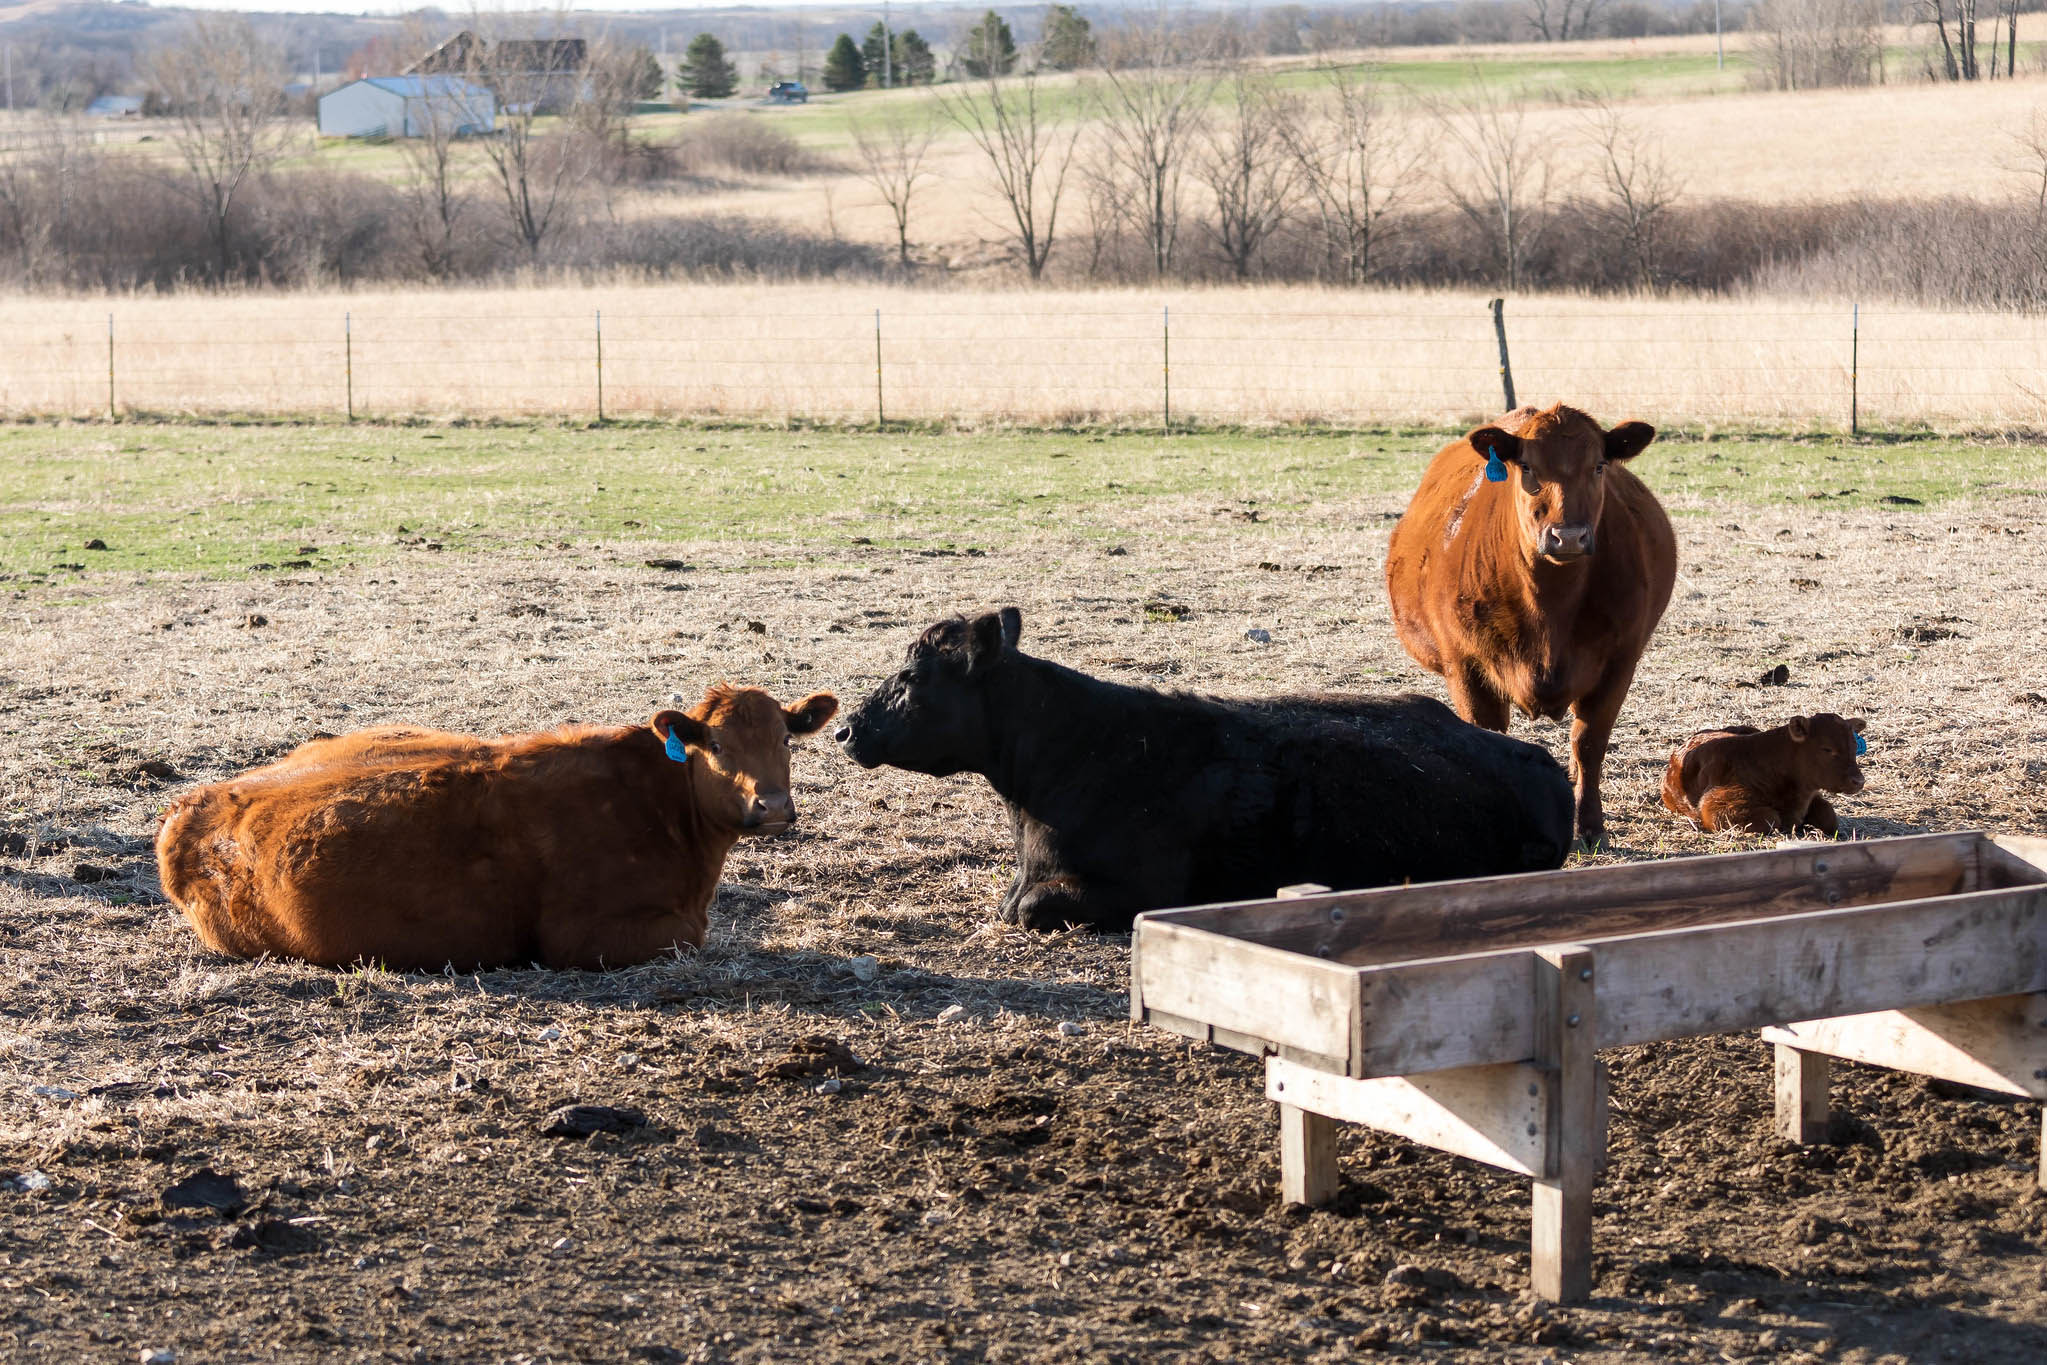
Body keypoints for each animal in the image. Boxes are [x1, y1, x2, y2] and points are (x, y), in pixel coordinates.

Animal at [155, 683, 835, 970]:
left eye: (785, 739)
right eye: (715, 745)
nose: (773, 806)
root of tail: (196, 802)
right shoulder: (584, 936)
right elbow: (691, 938)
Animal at [1383, 401, 1670, 839]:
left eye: (1599, 465)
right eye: (1527, 467)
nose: (1568, 537)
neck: (1550, 608)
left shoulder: (1620, 662)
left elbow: (1589, 743)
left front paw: (1590, 825)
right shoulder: (1464, 666)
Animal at [1662, 712, 1875, 839]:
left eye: (1854, 746)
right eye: (1827, 749)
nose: (1859, 781)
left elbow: (1828, 815)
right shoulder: (1716, 806)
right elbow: (1770, 818)